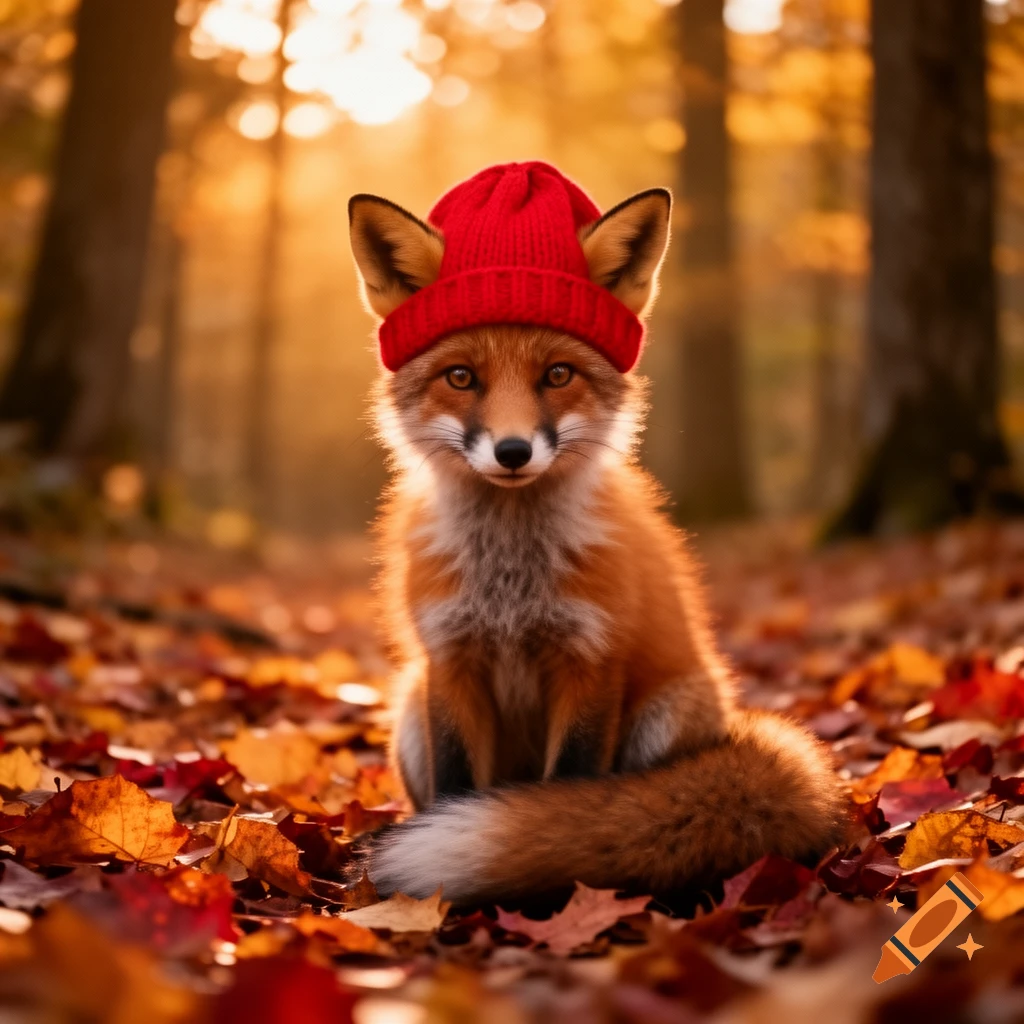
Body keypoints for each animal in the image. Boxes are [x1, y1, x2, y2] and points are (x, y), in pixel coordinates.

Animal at [347, 162, 847, 906]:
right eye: (461, 376)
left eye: (558, 374)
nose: (514, 451)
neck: (511, 583)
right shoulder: (451, 659)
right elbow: (456, 787)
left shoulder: (590, 660)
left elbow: (569, 795)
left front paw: (552, 858)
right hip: (409, 705)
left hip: (667, 713)